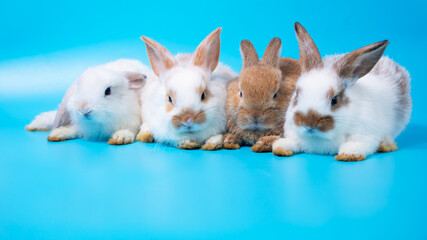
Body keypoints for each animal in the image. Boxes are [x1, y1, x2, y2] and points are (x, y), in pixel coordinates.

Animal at [272, 23, 412, 161]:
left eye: (334, 100)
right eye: (297, 95)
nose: (309, 124)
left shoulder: (365, 134)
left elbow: (359, 144)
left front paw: (349, 154)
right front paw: (280, 147)